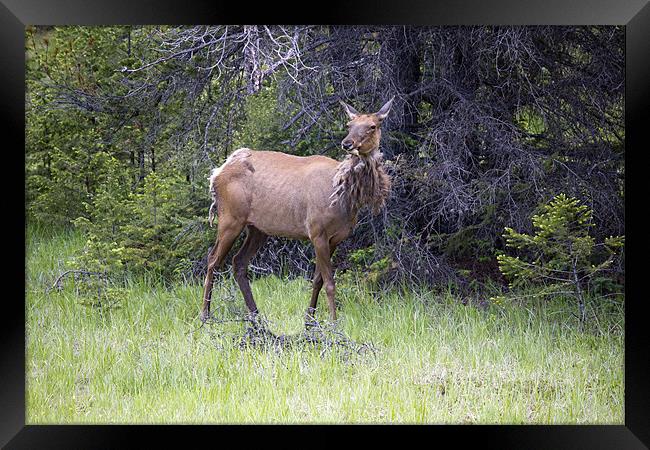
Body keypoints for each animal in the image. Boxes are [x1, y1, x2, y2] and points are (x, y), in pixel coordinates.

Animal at [200, 97, 392, 324]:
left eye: (373, 126)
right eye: (349, 125)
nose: (347, 143)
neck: (342, 195)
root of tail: (217, 173)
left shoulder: (335, 238)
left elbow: (318, 280)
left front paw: (309, 320)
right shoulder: (317, 231)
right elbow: (329, 283)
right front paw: (333, 323)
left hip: (257, 228)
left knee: (238, 262)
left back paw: (256, 317)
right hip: (230, 218)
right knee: (213, 259)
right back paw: (205, 315)